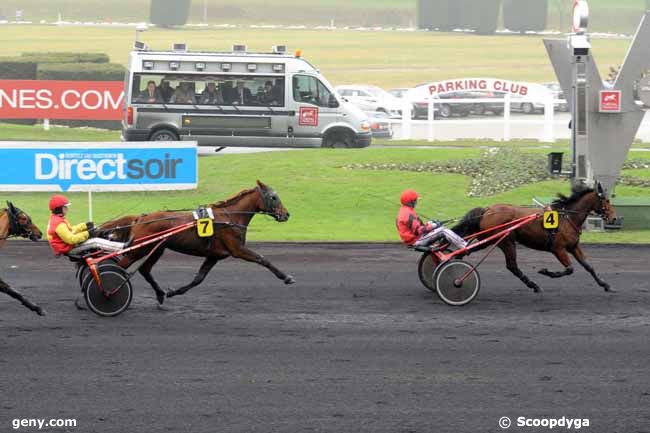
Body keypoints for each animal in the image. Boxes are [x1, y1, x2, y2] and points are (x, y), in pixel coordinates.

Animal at [100, 181, 294, 306]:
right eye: (274, 197)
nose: (286, 214)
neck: (231, 217)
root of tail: (140, 218)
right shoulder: (237, 249)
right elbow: (262, 259)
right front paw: (286, 277)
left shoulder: (215, 255)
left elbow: (198, 279)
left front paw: (173, 292)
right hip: (140, 249)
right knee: (120, 267)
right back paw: (106, 292)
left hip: (157, 249)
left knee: (144, 270)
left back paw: (160, 294)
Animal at [448, 182, 616, 294]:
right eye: (606, 200)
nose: (614, 218)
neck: (567, 217)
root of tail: (487, 210)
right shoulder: (558, 249)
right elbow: (569, 269)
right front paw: (545, 271)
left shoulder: (573, 247)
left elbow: (589, 266)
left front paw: (605, 285)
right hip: (506, 242)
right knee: (512, 266)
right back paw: (533, 285)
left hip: (488, 239)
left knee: (466, 250)